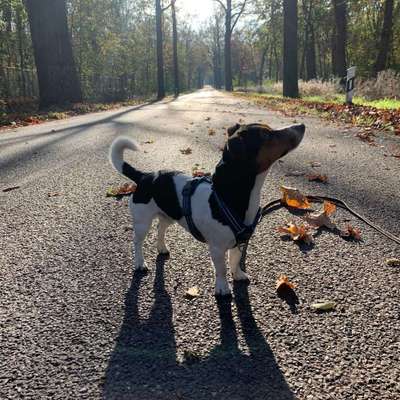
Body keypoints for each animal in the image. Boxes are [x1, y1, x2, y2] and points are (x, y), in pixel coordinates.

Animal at [108, 123, 304, 296]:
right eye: (265, 135)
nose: (301, 126)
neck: (229, 197)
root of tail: (144, 176)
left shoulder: (239, 242)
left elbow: (234, 261)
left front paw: (238, 275)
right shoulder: (217, 248)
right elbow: (221, 269)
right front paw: (223, 288)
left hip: (168, 216)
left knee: (160, 229)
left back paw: (162, 247)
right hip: (142, 222)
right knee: (137, 242)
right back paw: (140, 263)